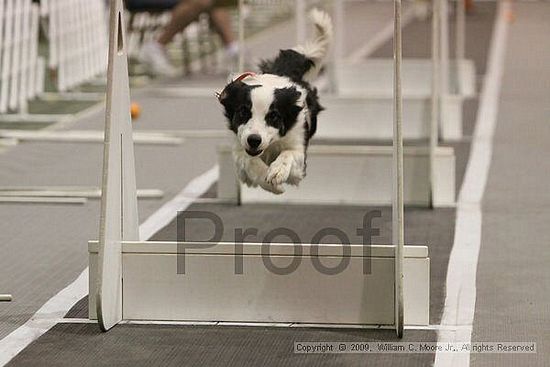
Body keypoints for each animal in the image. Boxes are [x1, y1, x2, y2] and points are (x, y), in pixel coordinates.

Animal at [219, 8, 332, 194]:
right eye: (243, 112)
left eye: (274, 116)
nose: (254, 140)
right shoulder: (239, 145)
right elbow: (249, 160)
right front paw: (272, 183)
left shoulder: (299, 150)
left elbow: (289, 153)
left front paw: (277, 172)